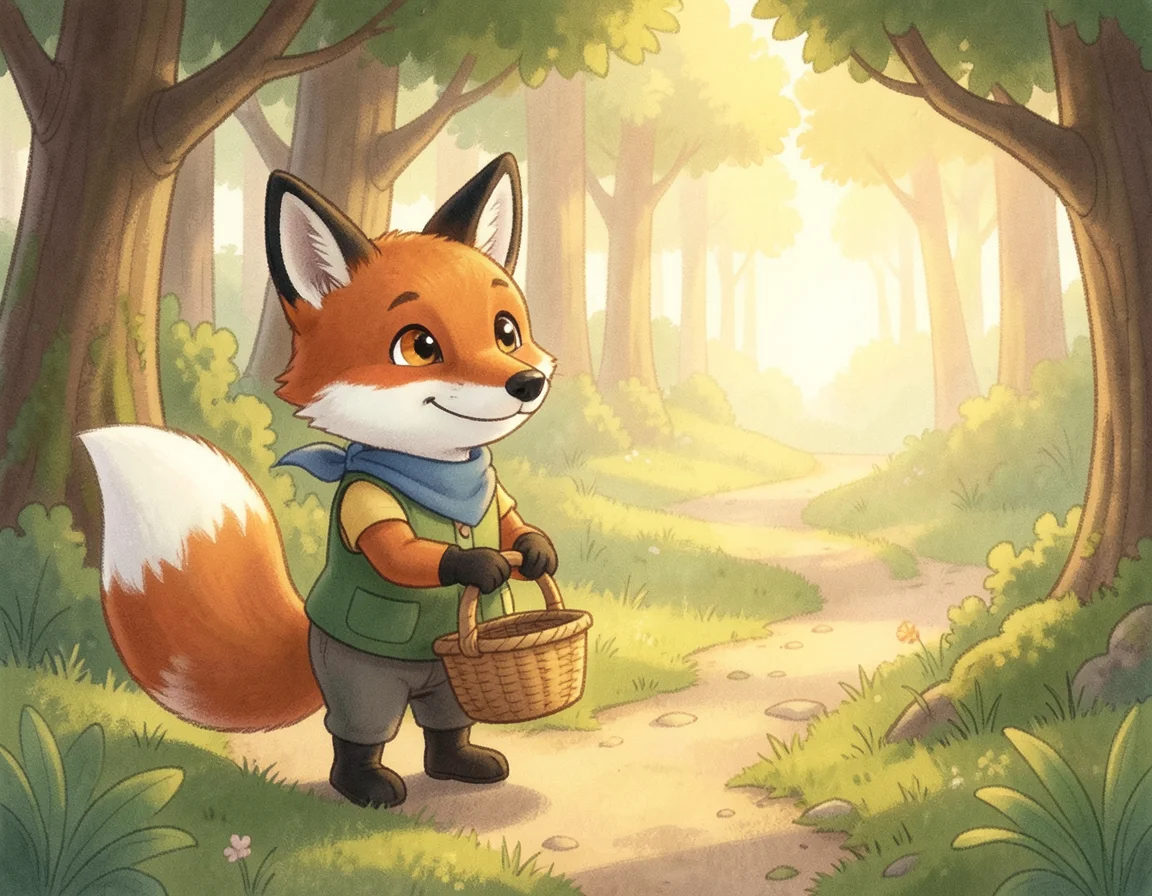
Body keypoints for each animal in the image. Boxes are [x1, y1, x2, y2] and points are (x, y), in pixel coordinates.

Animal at [80, 154, 558, 809]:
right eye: (419, 346)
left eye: (506, 332)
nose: (526, 384)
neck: (440, 465)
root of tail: (308, 629)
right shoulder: (365, 502)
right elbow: (400, 551)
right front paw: (476, 564)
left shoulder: (494, 492)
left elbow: (511, 519)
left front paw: (535, 551)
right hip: (360, 676)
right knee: (358, 729)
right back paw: (367, 785)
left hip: (443, 676)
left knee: (446, 719)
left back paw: (461, 762)